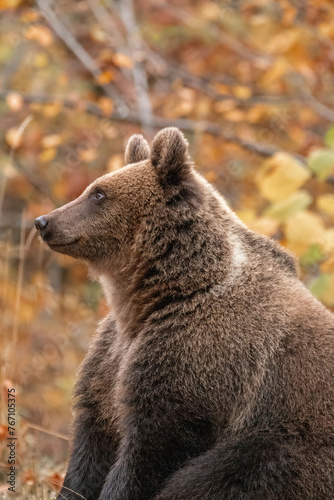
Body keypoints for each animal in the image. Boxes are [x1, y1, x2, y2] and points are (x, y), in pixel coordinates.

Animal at [36, 127, 334, 498]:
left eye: (99, 193)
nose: (43, 221)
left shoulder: (197, 355)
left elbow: (153, 445)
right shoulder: (111, 356)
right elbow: (92, 439)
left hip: (293, 439)